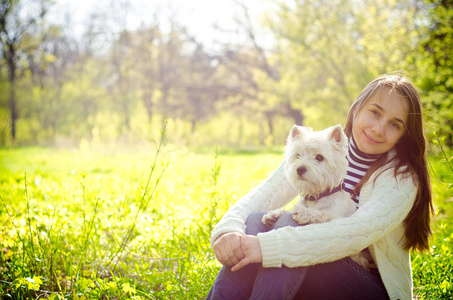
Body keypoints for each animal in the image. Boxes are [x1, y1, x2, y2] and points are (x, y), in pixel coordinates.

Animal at [264, 124, 370, 270]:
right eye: (297, 155)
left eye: (319, 157)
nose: (300, 169)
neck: (316, 196)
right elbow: (287, 210)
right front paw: (273, 215)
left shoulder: (336, 219)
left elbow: (321, 214)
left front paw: (302, 213)